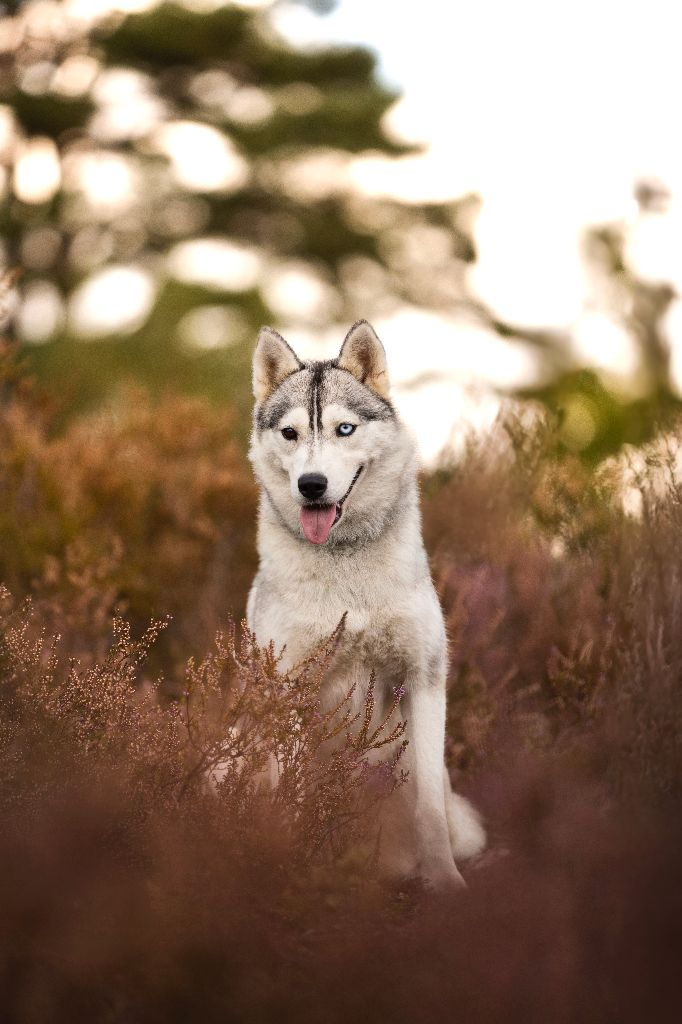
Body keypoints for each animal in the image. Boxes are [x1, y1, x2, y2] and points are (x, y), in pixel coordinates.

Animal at [245, 319, 483, 888]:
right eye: (290, 434)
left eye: (345, 429)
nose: (311, 485)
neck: (344, 564)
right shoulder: (288, 684)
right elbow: (294, 795)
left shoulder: (423, 678)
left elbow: (428, 809)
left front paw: (445, 882)